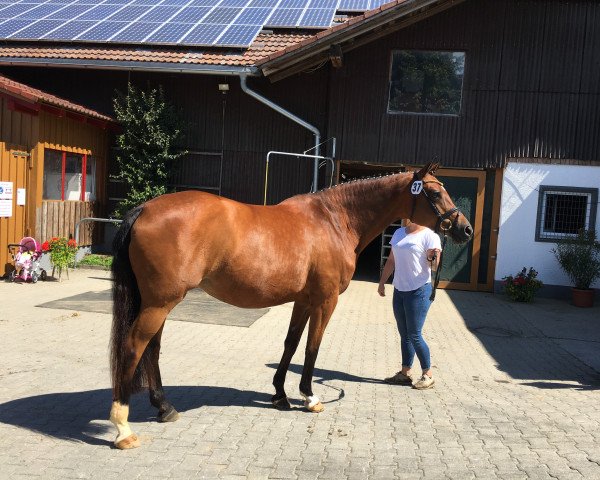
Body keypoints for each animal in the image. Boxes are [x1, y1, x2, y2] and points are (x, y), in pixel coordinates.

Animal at [109, 163, 474, 448]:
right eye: (435, 194)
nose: (465, 229)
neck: (334, 220)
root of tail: (145, 209)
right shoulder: (326, 300)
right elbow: (313, 346)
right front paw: (310, 397)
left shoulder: (303, 299)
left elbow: (291, 343)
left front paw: (280, 395)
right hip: (160, 303)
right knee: (134, 346)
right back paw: (123, 427)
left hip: (159, 302)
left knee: (152, 349)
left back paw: (164, 407)